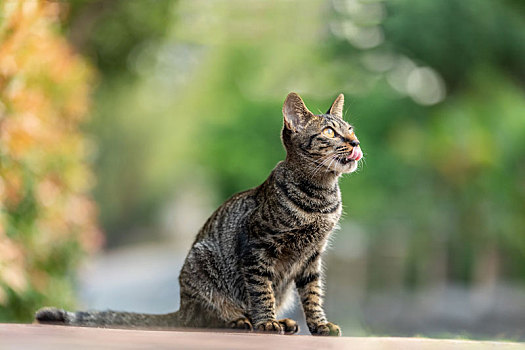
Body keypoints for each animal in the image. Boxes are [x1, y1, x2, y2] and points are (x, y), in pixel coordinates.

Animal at [36, 92, 362, 336]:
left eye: (350, 129)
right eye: (330, 132)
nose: (355, 142)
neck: (320, 196)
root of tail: (181, 309)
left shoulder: (312, 257)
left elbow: (313, 295)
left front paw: (319, 325)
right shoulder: (257, 247)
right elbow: (261, 290)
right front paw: (266, 321)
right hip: (201, 262)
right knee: (212, 315)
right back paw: (241, 319)